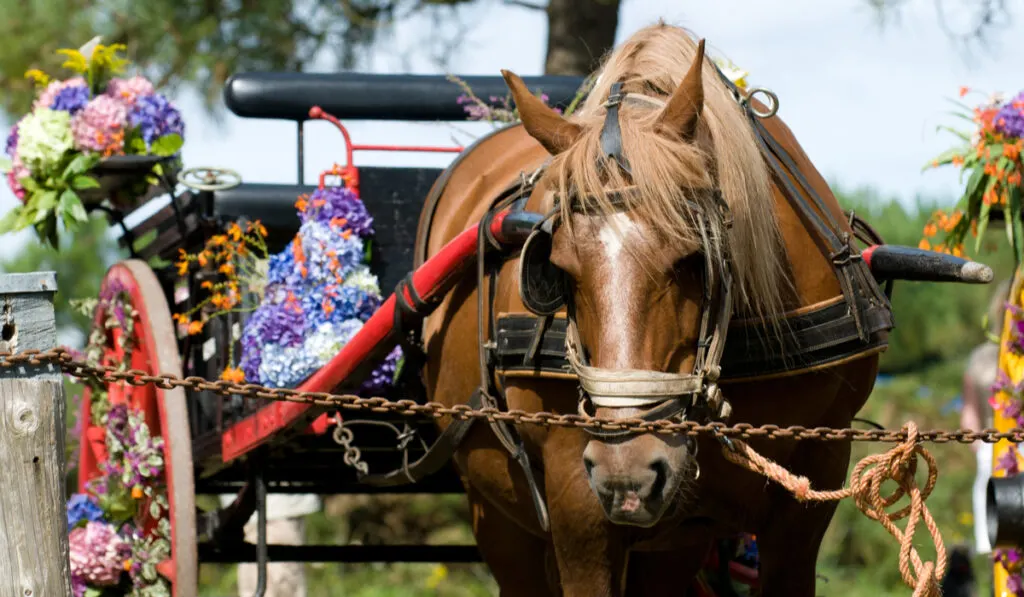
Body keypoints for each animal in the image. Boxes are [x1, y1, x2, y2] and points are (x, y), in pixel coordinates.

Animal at [415, 20, 888, 593]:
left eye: (693, 259)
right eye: (557, 268)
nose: (630, 469)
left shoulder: (814, 481)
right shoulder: (577, 496)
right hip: (500, 516)